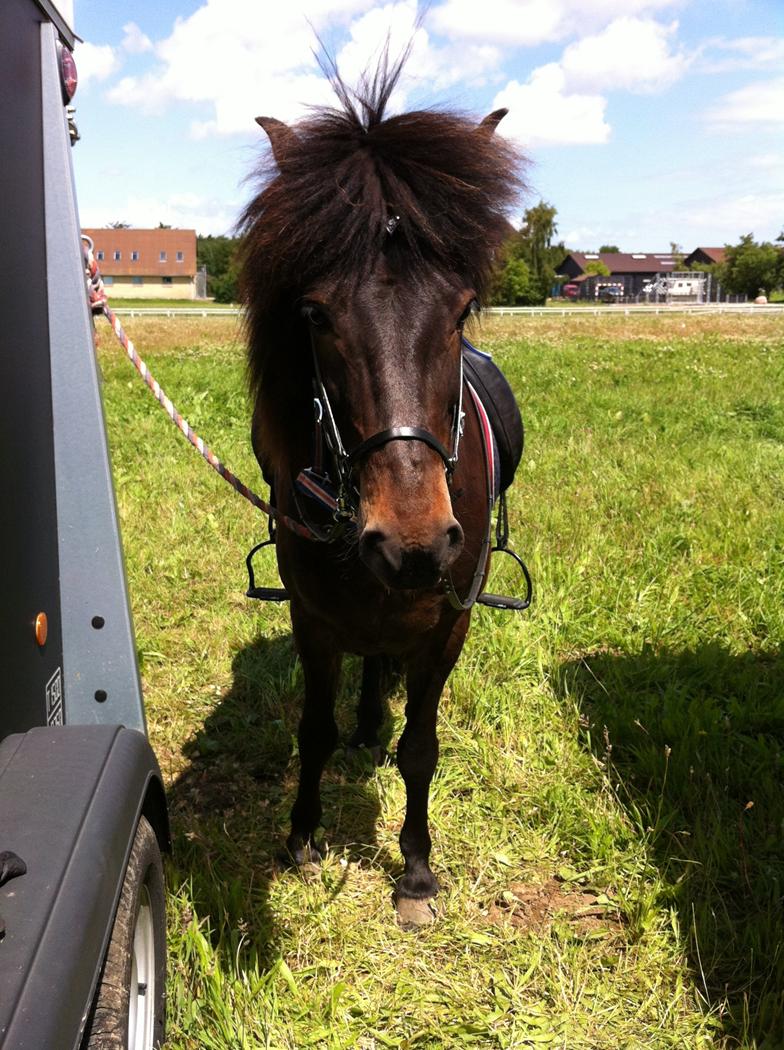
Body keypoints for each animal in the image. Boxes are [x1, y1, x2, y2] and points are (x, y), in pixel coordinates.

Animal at [237, 55, 520, 928]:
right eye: (315, 313)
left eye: (462, 308)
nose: (414, 541)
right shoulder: (315, 618)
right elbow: (314, 731)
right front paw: (301, 836)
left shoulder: (448, 624)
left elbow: (420, 747)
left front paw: (417, 869)